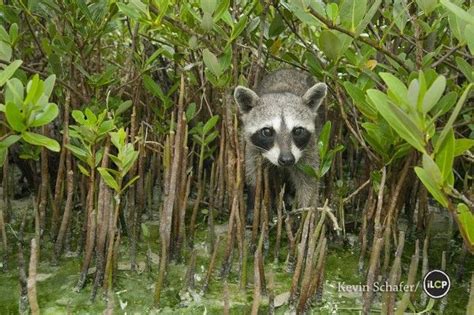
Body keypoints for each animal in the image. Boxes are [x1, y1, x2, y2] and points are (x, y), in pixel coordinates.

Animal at [232, 69, 326, 212]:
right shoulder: (250, 143)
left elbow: (308, 182)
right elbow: (253, 172)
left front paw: (307, 212)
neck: (280, 91)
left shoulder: (310, 145)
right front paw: (253, 203)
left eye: (298, 131)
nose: (287, 159)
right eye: (267, 131)